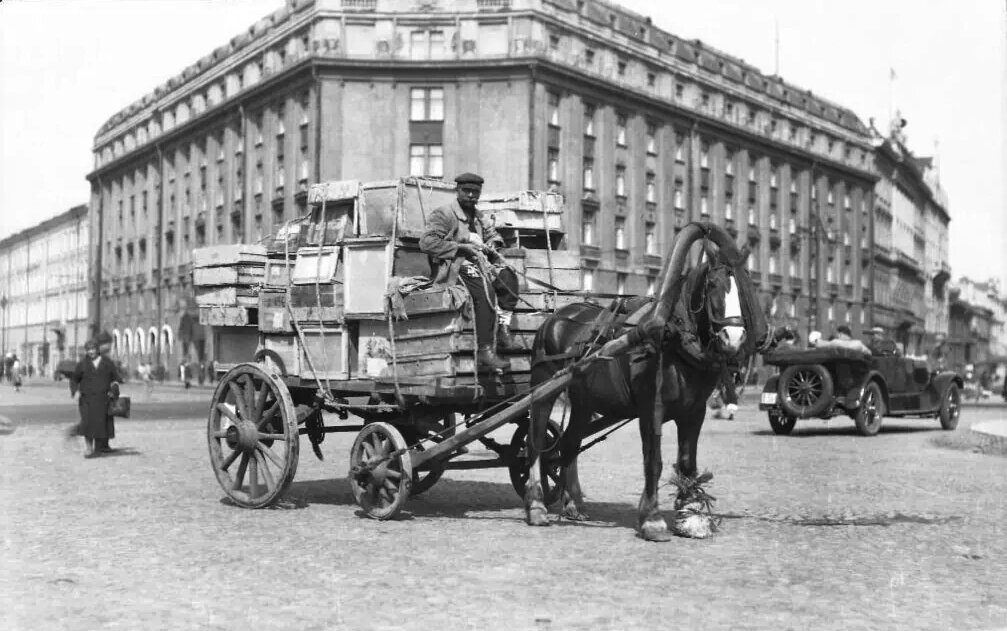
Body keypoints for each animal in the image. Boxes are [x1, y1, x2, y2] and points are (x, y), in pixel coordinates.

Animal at [527, 223, 761, 543]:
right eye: (713, 285)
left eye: (744, 287)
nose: (733, 338)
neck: (671, 336)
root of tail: (557, 317)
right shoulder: (652, 408)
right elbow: (654, 460)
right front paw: (652, 518)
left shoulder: (694, 411)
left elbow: (687, 461)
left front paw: (691, 514)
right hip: (543, 390)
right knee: (537, 440)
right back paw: (536, 505)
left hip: (584, 400)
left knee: (570, 443)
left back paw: (573, 503)